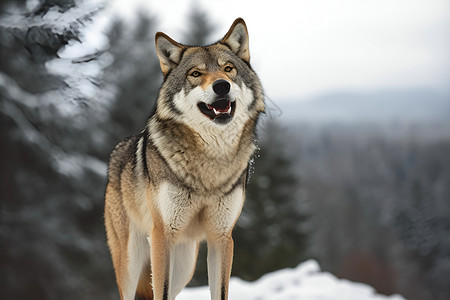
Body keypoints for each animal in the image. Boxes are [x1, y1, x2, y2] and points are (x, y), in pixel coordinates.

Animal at [103, 18, 266, 300]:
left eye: (228, 69)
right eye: (196, 74)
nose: (221, 85)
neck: (211, 163)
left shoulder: (222, 238)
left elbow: (220, 292)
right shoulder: (162, 235)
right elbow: (162, 294)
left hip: (184, 265)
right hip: (132, 263)